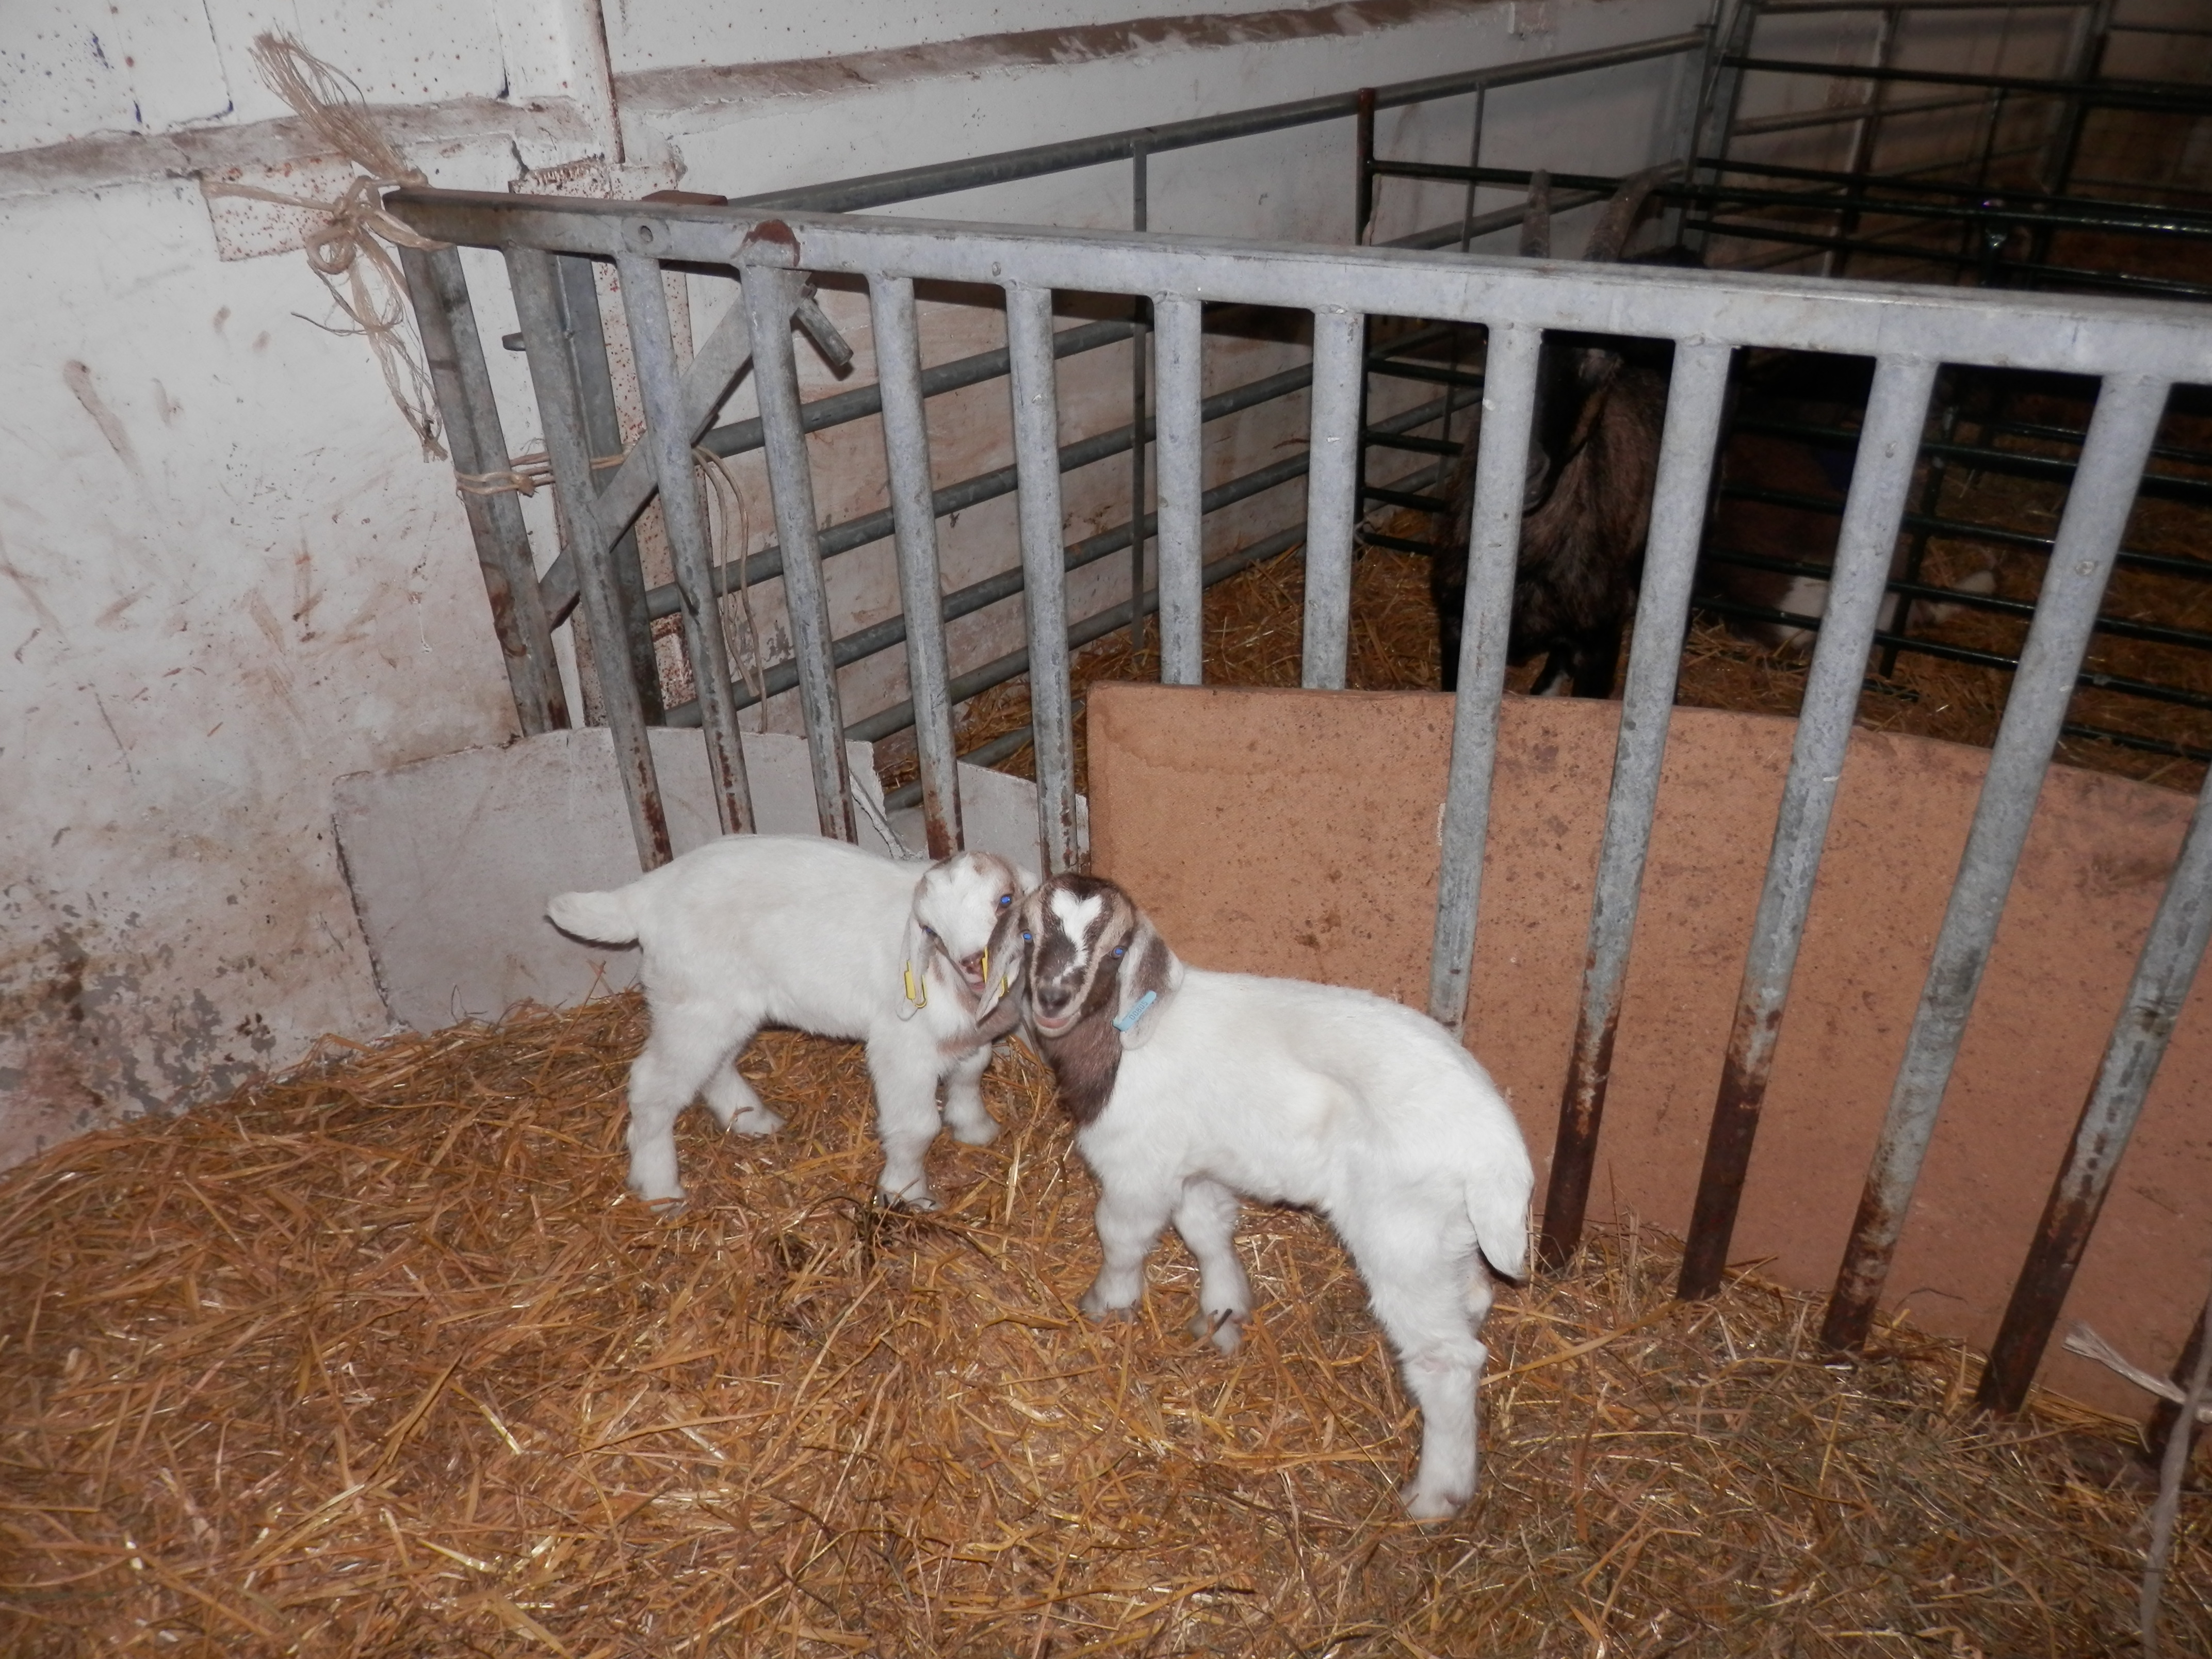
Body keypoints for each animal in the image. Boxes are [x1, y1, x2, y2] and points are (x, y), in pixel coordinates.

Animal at [548, 836, 1034, 1211]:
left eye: (1005, 901)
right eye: (931, 929)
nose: (973, 963)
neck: (961, 991)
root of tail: (644, 895)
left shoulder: (970, 1035)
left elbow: (972, 1074)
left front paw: (976, 1129)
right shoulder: (902, 1048)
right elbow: (916, 1128)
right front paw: (908, 1194)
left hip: (724, 1006)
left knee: (713, 1066)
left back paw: (752, 1119)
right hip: (694, 1003)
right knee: (654, 1085)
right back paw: (661, 1190)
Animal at [978, 873, 1533, 1520]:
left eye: (1116, 951)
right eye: (1028, 934)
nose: (1052, 998)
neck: (1127, 1041)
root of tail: (1497, 1148)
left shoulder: (1137, 1169)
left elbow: (1120, 1238)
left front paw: (1106, 1305)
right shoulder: (1192, 1165)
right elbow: (1208, 1229)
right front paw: (1222, 1314)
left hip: (1402, 1235)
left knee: (1447, 1357)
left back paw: (1434, 1495)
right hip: (1448, 1232)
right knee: (1471, 1297)